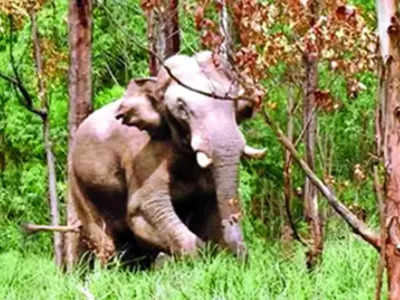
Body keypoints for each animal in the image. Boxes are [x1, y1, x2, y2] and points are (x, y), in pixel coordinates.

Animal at [70, 51, 264, 264]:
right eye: (181, 106)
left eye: (234, 102)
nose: (243, 256)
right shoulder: (142, 156)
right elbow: (143, 208)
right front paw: (200, 257)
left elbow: (210, 204)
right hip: (77, 184)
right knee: (104, 244)